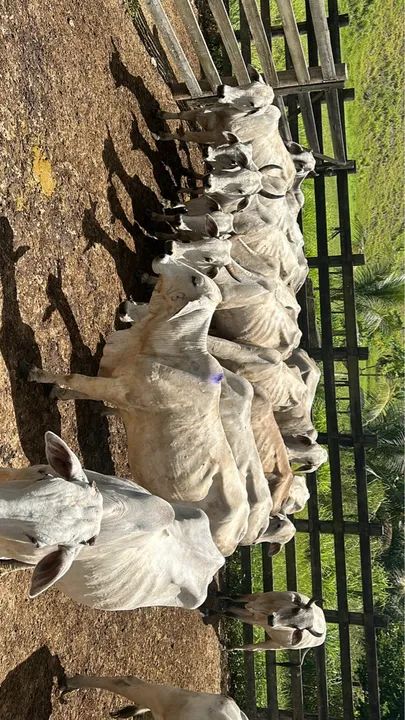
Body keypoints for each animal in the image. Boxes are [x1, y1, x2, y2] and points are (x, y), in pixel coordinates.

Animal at [28, 258, 249, 557]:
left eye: (195, 279)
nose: (163, 257)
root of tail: (238, 534)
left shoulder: (120, 390)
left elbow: (75, 378)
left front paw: (37, 375)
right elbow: (80, 388)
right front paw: (58, 392)